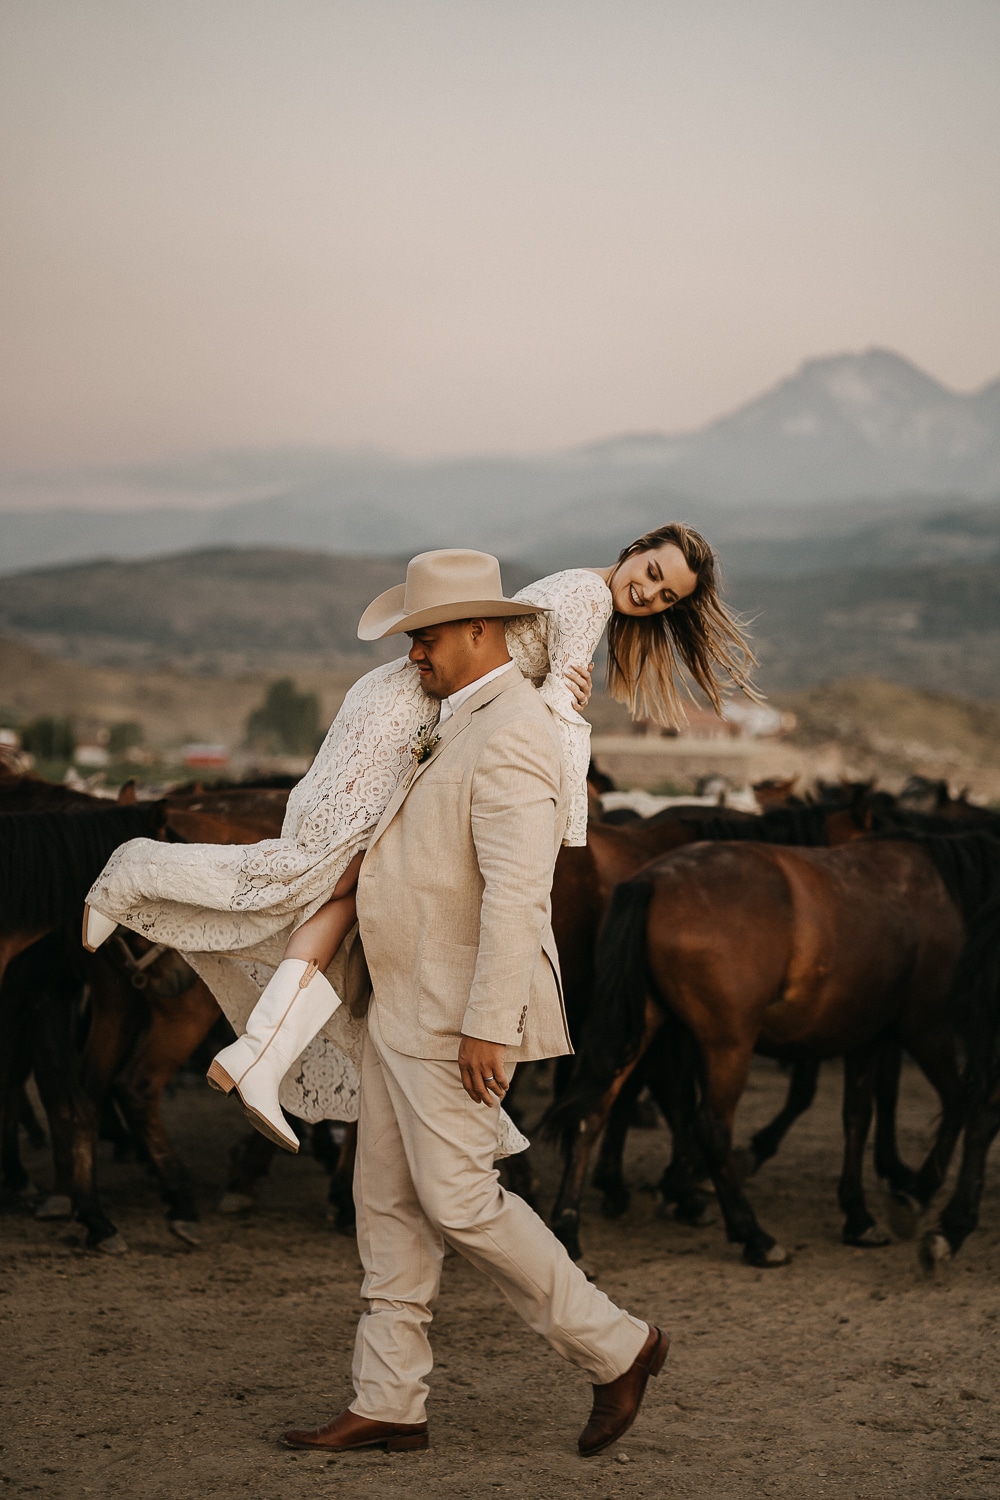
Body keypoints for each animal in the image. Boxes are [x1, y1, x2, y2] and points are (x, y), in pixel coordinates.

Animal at [548, 834, 1000, 1266]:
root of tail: (652, 880)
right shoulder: (928, 1028)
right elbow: (959, 1102)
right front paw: (916, 1196)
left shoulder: (866, 1037)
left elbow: (857, 1117)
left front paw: (858, 1215)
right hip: (729, 1044)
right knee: (711, 1126)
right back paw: (753, 1235)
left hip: (640, 1027)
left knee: (592, 1114)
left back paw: (568, 1230)